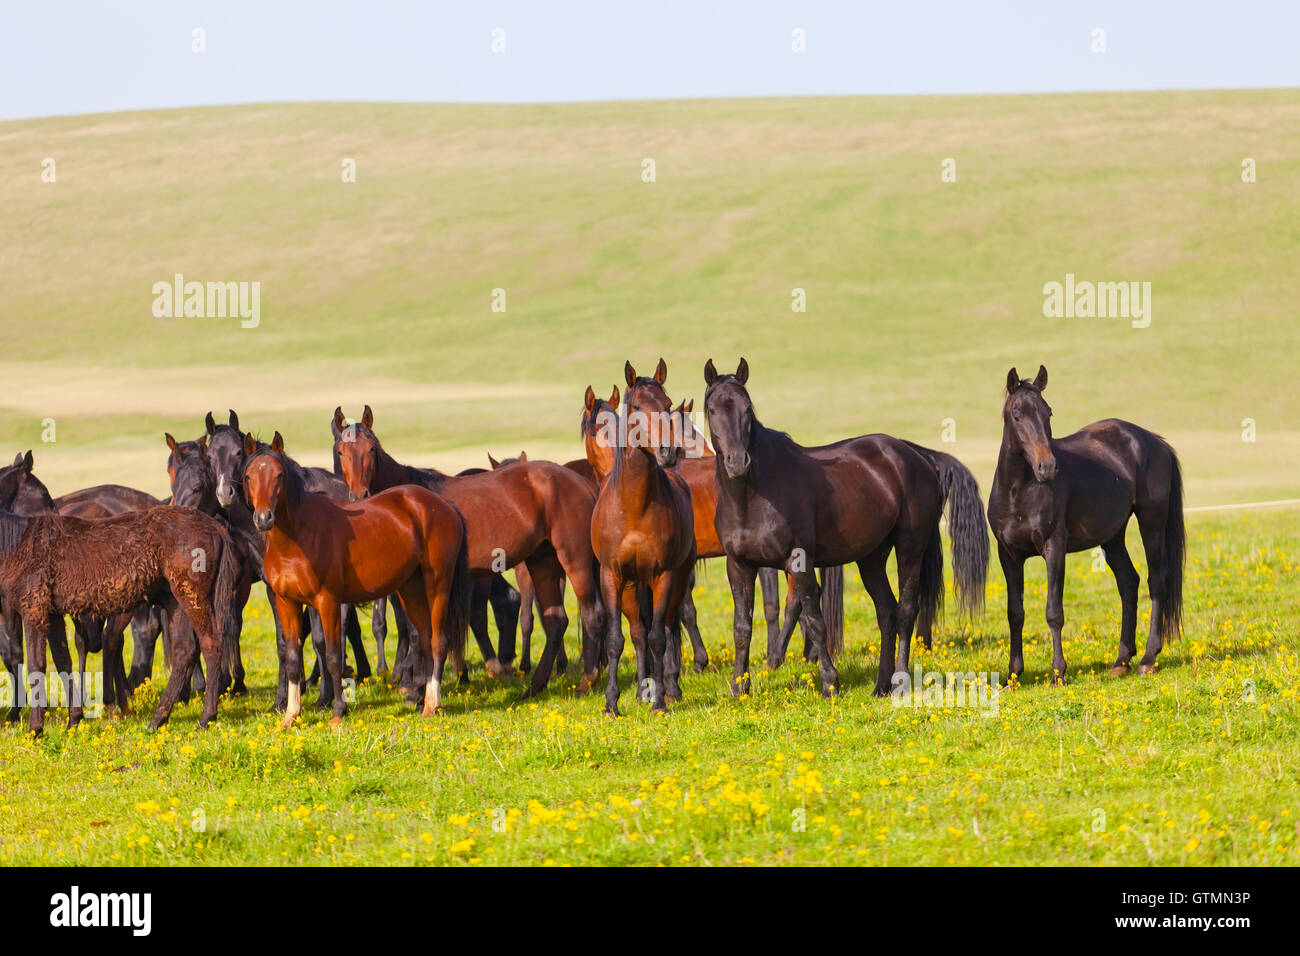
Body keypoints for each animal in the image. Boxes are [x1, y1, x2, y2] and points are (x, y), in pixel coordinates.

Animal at [0, 504, 243, 738]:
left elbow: (36, 666)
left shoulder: (34, 610)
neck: (16, 544)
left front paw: (35, 730)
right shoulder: (53, 614)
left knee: (210, 645)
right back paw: (157, 721)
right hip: (174, 599)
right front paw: (73, 722)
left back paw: (205, 719)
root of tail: (215, 526)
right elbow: (63, 663)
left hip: (191, 595)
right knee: (185, 650)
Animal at [200, 411, 371, 712]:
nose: (225, 494)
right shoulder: (274, 588)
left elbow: (319, 640)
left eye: (237, 453)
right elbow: (285, 641)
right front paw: (282, 699)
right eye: (209, 457)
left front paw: (325, 698)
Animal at [330, 403, 603, 697]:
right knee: (555, 621)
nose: (360, 495)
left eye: (371, 449)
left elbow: (420, 632)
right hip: (543, 563)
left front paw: (416, 687)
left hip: (575, 560)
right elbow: (418, 631)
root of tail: (581, 482)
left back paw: (587, 682)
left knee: (591, 614)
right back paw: (535, 686)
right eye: (340, 451)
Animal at [592, 361, 696, 712]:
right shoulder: (611, 575)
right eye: (636, 407)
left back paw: (669, 689)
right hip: (630, 586)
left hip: (677, 579)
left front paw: (660, 702)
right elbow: (616, 640)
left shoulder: (664, 575)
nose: (667, 450)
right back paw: (640, 691)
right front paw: (611, 704)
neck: (634, 506)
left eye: (667, 404)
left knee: (667, 626)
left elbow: (659, 638)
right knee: (637, 632)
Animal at [982, 369, 1190, 686]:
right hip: (1113, 537)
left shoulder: (1054, 549)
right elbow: (1015, 613)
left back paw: (1148, 658)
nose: (1047, 467)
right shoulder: (1009, 555)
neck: (1019, 491)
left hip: (1151, 523)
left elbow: (1053, 612)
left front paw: (1058, 672)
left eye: (1048, 413)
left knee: (1156, 581)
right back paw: (1121, 660)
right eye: (1017, 415)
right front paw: (1013, 676)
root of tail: (1154, 441)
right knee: (1128, 583)